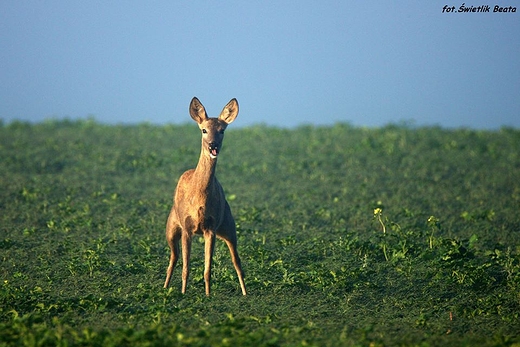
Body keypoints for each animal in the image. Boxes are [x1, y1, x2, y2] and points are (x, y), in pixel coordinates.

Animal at [165, 97, 248, 296]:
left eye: (222, 130)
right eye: (204, 130)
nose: (213, 146)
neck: (199, 198)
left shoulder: (211, 227)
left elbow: (207, 269)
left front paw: (208, 295)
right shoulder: (187, 227)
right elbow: (186, 268)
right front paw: (183, 293)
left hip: (228, 226)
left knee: (237, 261)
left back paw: (245, 292)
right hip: (171, 227)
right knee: (173, 258)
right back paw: (164, 287)